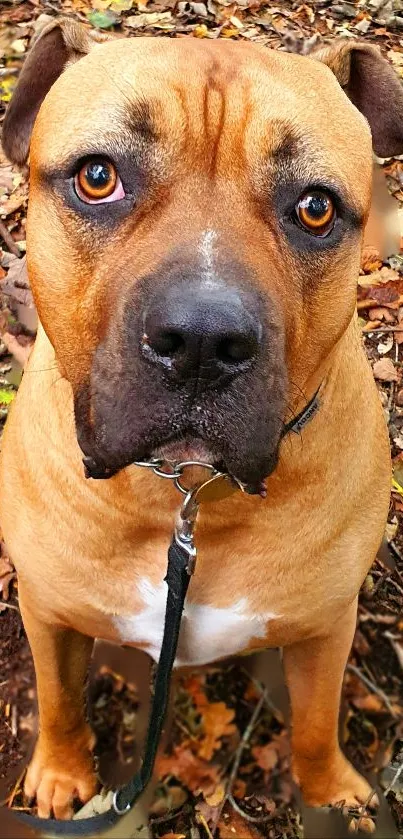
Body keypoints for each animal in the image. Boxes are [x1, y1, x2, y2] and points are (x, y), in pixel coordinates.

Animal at [0, 18, 398, 820]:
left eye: (315, 207)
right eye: (98, 176)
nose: (204, 340)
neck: (182, 490)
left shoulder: (325, 628)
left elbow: (316, 722)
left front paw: (332, 793)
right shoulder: (47, 608)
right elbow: (58, 698)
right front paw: (61, 772)